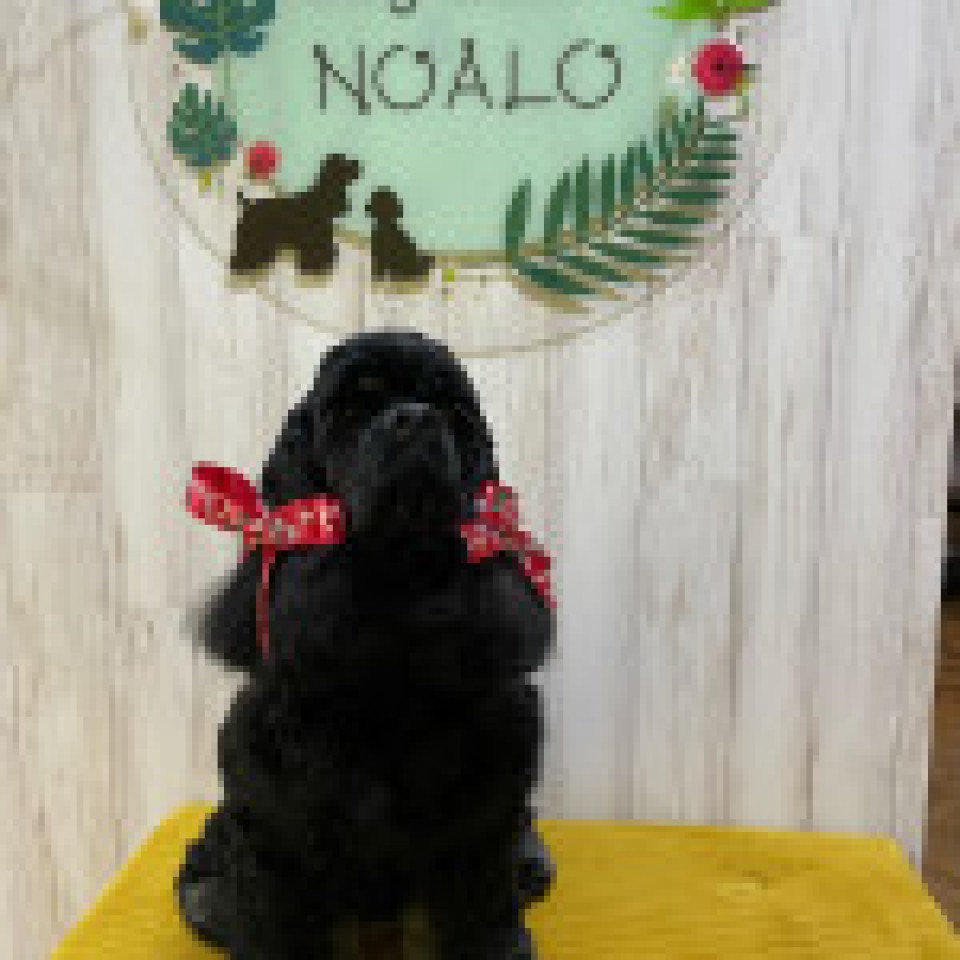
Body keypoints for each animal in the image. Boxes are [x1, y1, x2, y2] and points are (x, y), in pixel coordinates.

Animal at [177, 330, 556, 960]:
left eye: (454, 411)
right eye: (355, 407)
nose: (417, 418)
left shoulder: (482, 823)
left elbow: (486, 913)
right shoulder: (274, 830)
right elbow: (274, 919)